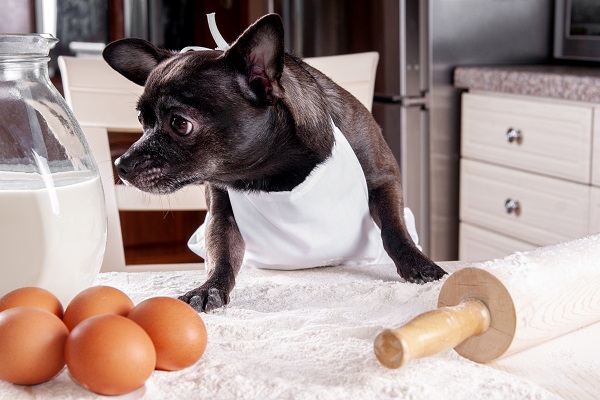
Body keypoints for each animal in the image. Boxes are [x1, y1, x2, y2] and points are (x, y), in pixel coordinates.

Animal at [102, 13, 446, 312]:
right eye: (142, 121)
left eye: (179, 124)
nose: (121, 164)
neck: (274, 170)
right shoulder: (221, 215)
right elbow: (221, 255)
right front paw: (209, 288)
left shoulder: (383, 179)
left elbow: (393, 228)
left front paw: (418, 264)